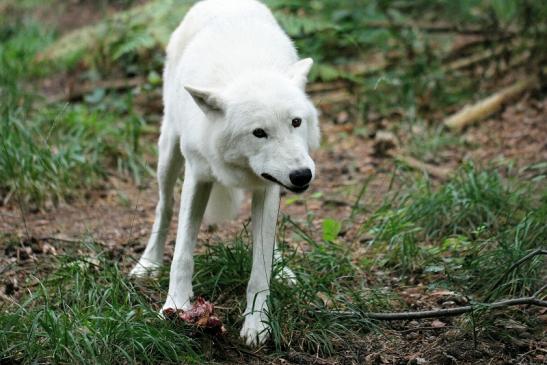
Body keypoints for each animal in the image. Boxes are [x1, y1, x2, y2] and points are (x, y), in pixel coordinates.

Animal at [132, 0, 322, 344]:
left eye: (296, 122)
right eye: (259, 133)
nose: (302, 175)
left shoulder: (268, 188)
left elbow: (260, 267)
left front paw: (257, 324)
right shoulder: (197, 177)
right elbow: (182, 253)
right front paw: (175, 305)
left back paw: (282, 269)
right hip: (168, 153)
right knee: (164, 207)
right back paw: (148, 262)